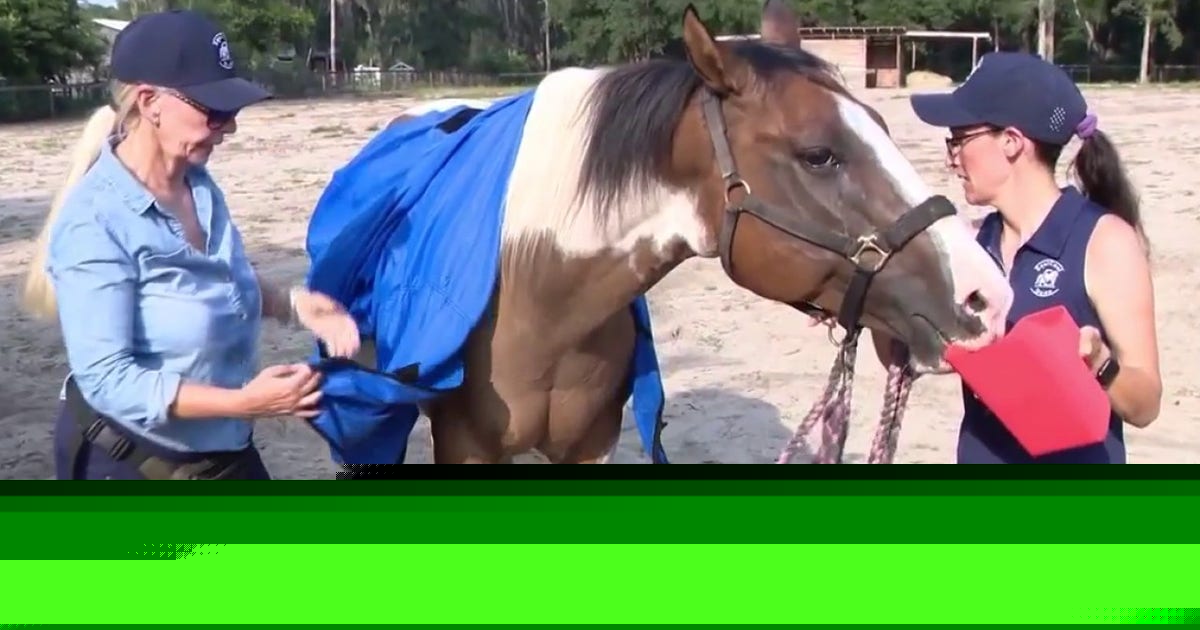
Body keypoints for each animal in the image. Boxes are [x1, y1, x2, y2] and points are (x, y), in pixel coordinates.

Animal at [312, 0, 1014, 465]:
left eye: (883, 125)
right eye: (819, 154)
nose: (986, 296)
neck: (537, 298)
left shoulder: (588, 446)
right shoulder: (464, 449)